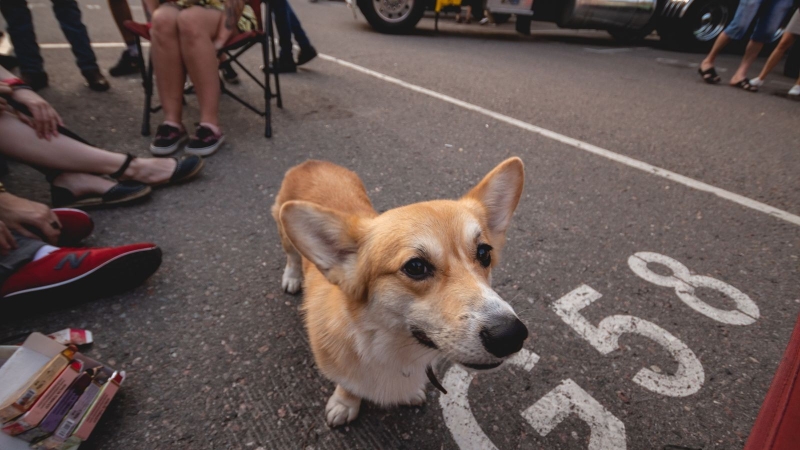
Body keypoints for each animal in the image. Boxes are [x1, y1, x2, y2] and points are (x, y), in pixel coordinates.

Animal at [272, 160, 528, 428]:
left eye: (484, 253)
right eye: (415, 267)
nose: (511, 335)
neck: (386, 345)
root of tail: (312, 163)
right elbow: (348, 384)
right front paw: (344, 403)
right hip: (285, 234)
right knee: (292, 256)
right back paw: (292, 277)